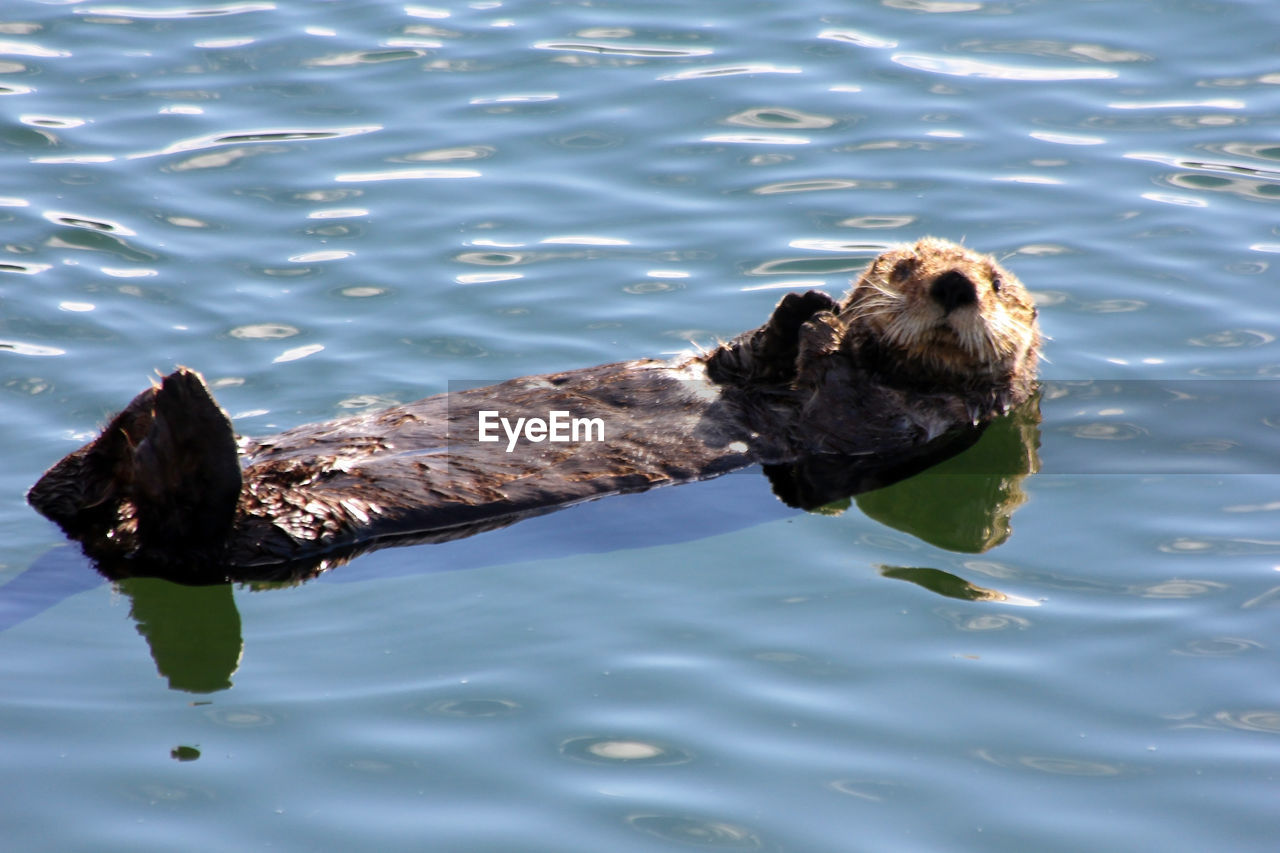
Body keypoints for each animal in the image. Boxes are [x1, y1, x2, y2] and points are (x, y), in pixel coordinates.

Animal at [27, 234, 1039, 578]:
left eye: (999, 284)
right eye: (905, 263)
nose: (955, 283)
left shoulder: (895, 434)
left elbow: (832, 446)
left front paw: (824, 329)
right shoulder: (741, 369)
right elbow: (744, 356)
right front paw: (807, 306)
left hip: (277, 531)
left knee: (184, 541)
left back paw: (178, 425)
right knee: (56, 495)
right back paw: (143, 419)